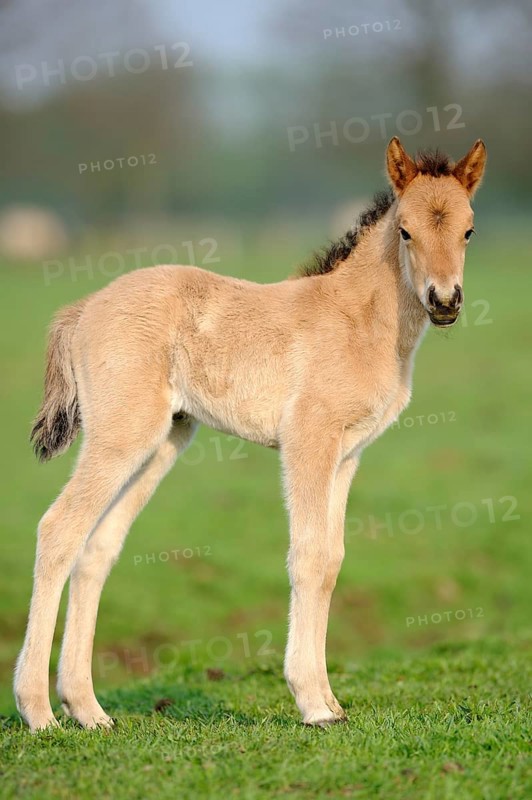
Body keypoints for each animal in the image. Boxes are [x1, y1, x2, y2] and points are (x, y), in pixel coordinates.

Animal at [15, 136, 486, 730]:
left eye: (468, 229)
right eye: (405, 230)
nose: (445, 301)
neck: (358, 320)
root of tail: (82, 309)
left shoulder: (347, 454)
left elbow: (331, 560)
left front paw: (331, 701)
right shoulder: (309, 439)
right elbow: (308, 555)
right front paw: (313, 704)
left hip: (161, 444)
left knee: (96, 548)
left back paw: (88, 710)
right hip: (122, 435)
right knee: (58, 530)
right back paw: (38, 712)